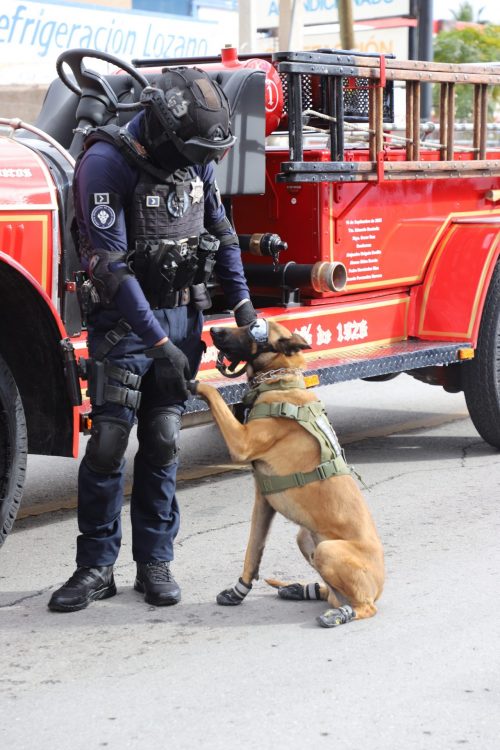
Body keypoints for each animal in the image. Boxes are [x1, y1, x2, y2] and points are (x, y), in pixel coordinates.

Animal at [191, 318, 384, 628]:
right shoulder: (263, 500)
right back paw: (303, 590)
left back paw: (342, 613)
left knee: (362, 606)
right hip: (305, 537)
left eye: (254, 329)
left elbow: (214, 393)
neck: (279, 382)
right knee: (331, 592)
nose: (214, 330)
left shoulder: (241, 441)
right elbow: (253, 550)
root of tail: (380, 588)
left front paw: (193, 381)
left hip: (328, 551)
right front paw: (238, 591)